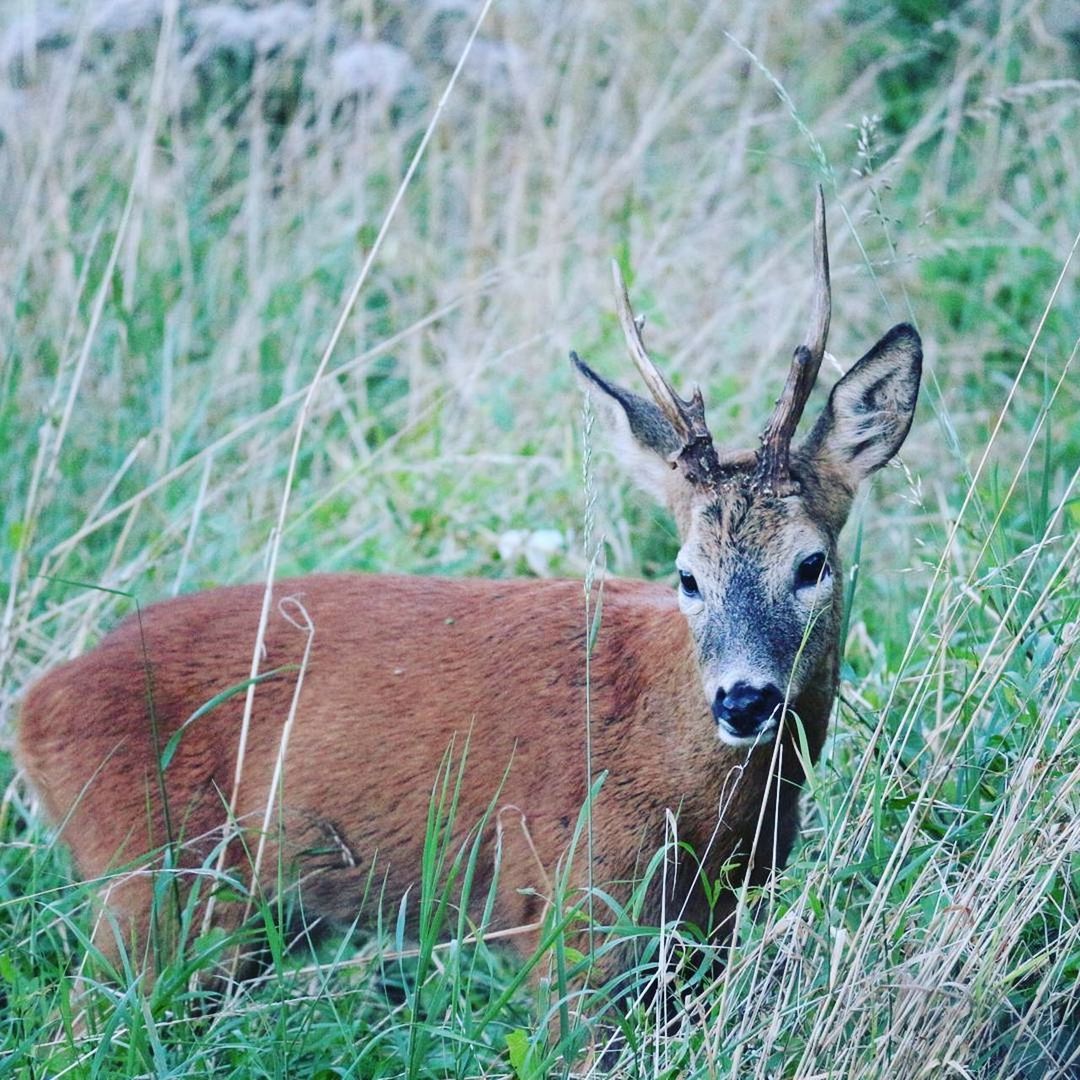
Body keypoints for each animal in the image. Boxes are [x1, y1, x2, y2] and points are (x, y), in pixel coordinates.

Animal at [14, 190, 920, 997]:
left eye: (811, 564)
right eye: (686, 574)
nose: (742, 700)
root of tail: (33, 707)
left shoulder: (706, 930)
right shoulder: (570, 908)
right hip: (150, 885)